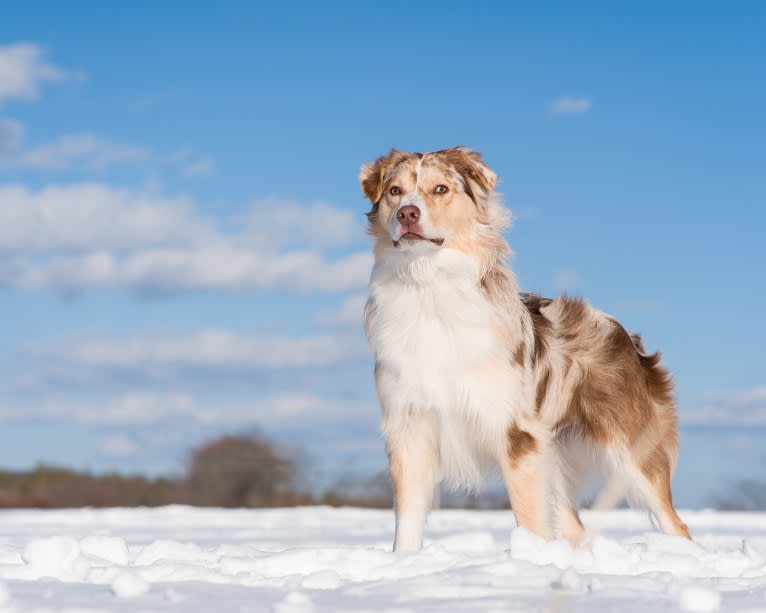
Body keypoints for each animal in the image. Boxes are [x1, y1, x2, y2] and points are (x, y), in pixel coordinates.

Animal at [360, 147, 688, 548]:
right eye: (394, 191)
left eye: (440, 189)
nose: (408, 213)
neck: (428, 286)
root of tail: (628, 337)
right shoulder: (408, 428)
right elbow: (407, 522)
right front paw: (404, 561)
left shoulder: (516, 433)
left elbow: (529, 520)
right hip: (555, 456)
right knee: (575, 528)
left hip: (632, 452)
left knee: (676, 523)